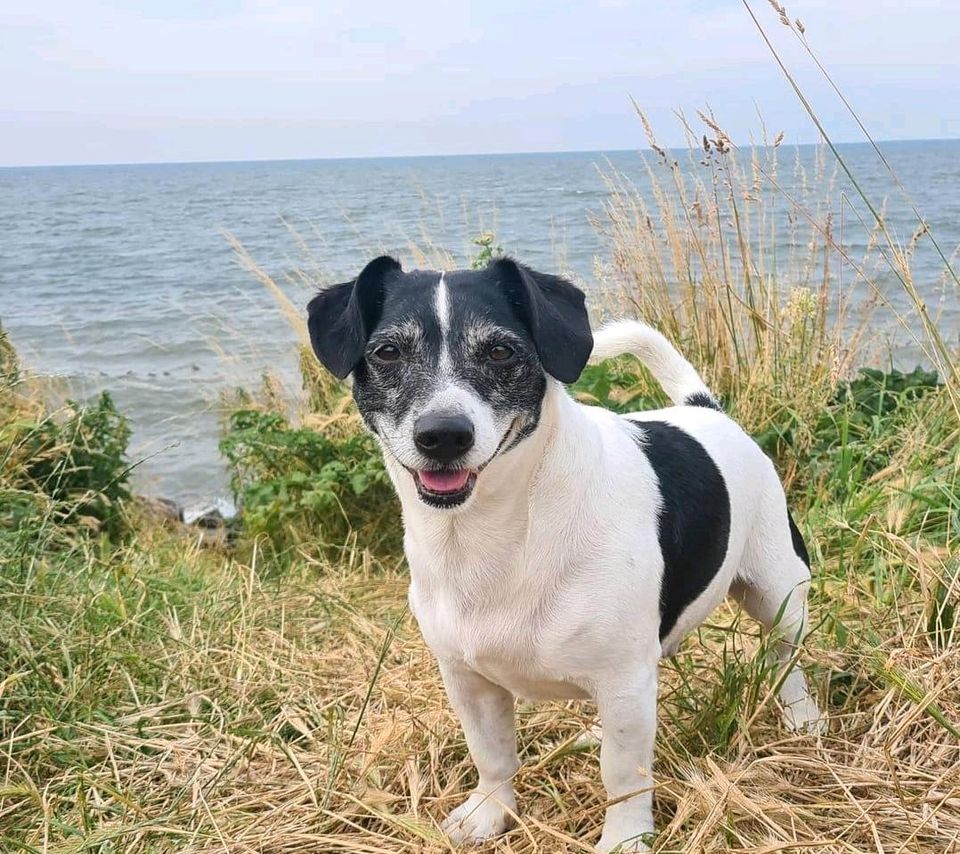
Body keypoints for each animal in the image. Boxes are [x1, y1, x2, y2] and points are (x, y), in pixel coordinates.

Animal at [308, 258, 816, 852]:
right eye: (388, 352)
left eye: (501, 351)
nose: (443, 435)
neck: (493, 529)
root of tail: (708, 412)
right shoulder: (468, 680)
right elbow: (492, 753)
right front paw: (490, 811)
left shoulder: (623, 680)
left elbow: (623, 776)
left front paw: (624, 838)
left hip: (777, 593)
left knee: (786, 656)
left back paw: (802, 716)